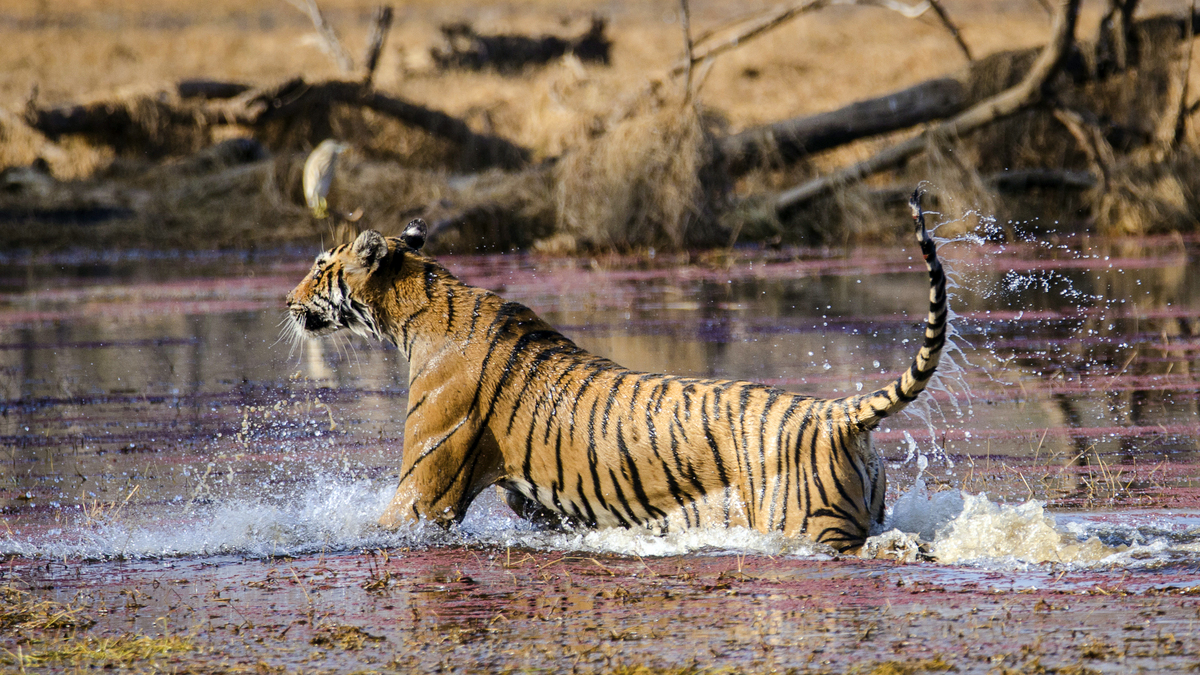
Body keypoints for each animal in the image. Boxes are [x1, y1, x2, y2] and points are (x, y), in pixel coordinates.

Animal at [283, 190, 945, 552]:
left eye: (319, 266)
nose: (288, 302)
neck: (417, 307)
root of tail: (840, 413)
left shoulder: (424, 493)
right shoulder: (536, 499)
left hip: (815, 527)